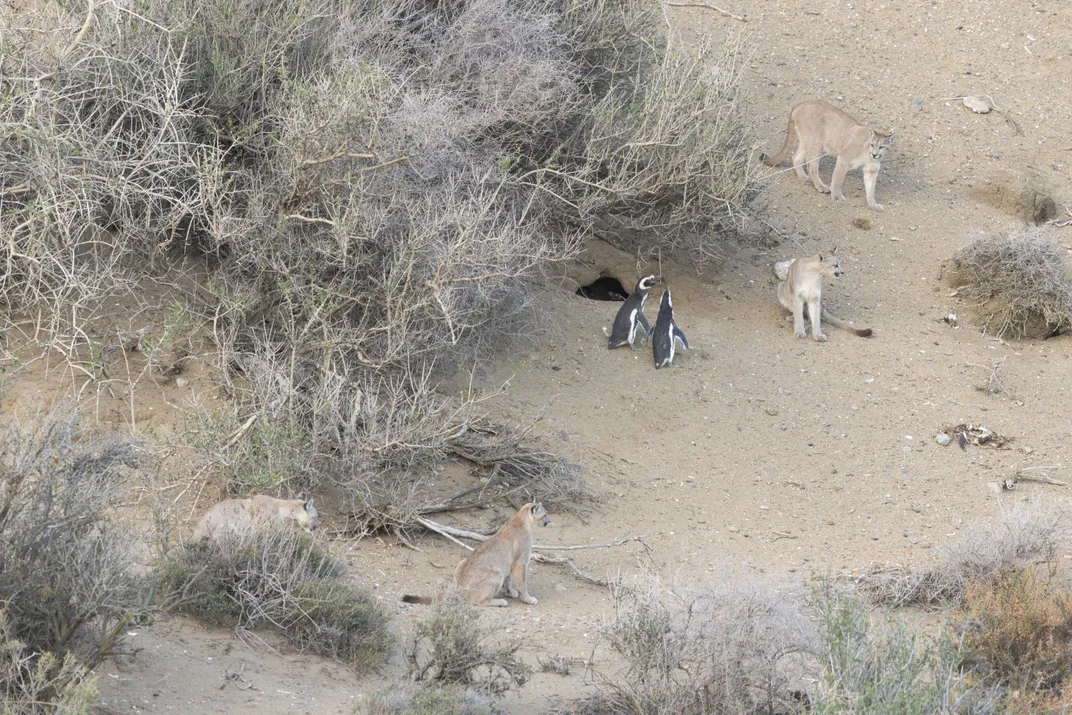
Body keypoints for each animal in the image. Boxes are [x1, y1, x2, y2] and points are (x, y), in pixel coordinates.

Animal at [402, 502, 550, 607]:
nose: (549, 521)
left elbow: (509, 580)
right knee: (478, 601)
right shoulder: (521, 563)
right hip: (496, 574)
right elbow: (523, 583)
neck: (521, 520)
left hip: (462, 562)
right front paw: (527, 599)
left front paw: (510, 592)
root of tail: (459, 587)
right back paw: (501, 602)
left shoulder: (511, 564)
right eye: (545, 515)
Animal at [761, 99, 893, 211]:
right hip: (816, 143)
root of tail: (801, 104)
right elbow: (837, 180)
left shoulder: (871, 171)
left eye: (881, 147)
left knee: (795, 157)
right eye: (872, 144)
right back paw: (821, 186)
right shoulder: (843, 159)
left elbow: (871, 189)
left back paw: (804, 178)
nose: (875, 155)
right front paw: (837, 197)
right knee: (811, 167)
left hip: (807, 141)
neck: (868, 156)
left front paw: (873, 205)